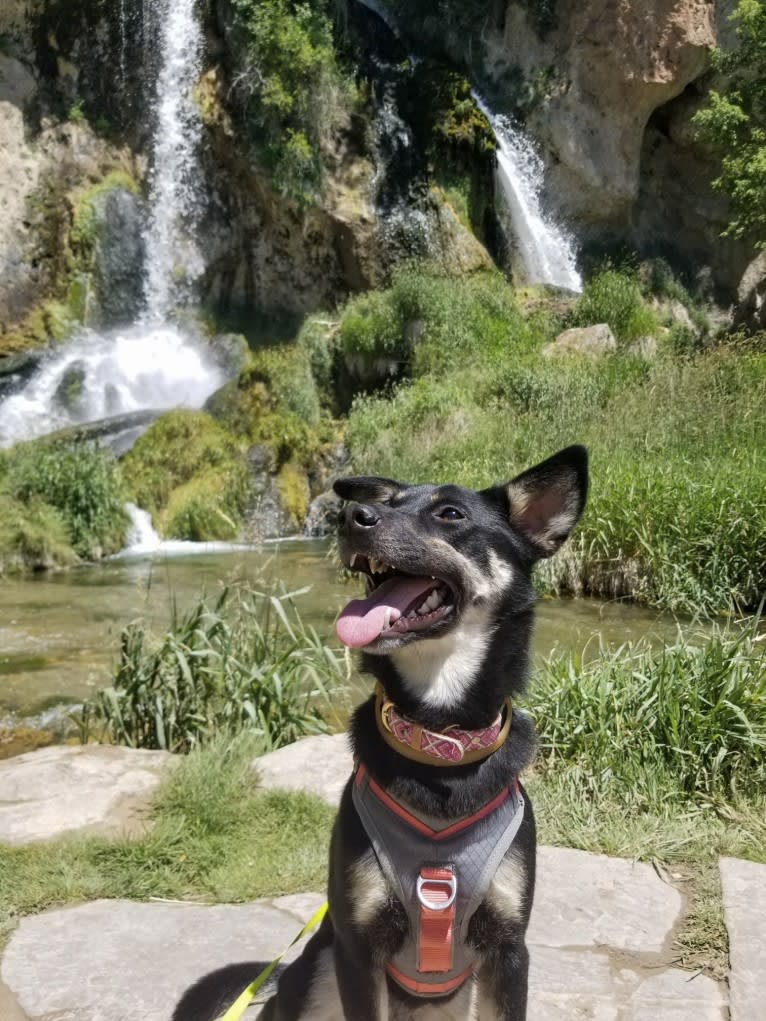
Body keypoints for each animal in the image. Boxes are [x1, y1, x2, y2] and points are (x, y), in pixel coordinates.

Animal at [261, 447, 592, 1021]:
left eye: (450, 514)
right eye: (387, 502)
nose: (350, 517)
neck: (441, 743)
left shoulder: (509, 950)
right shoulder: (356, 948)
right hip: (317, 970)